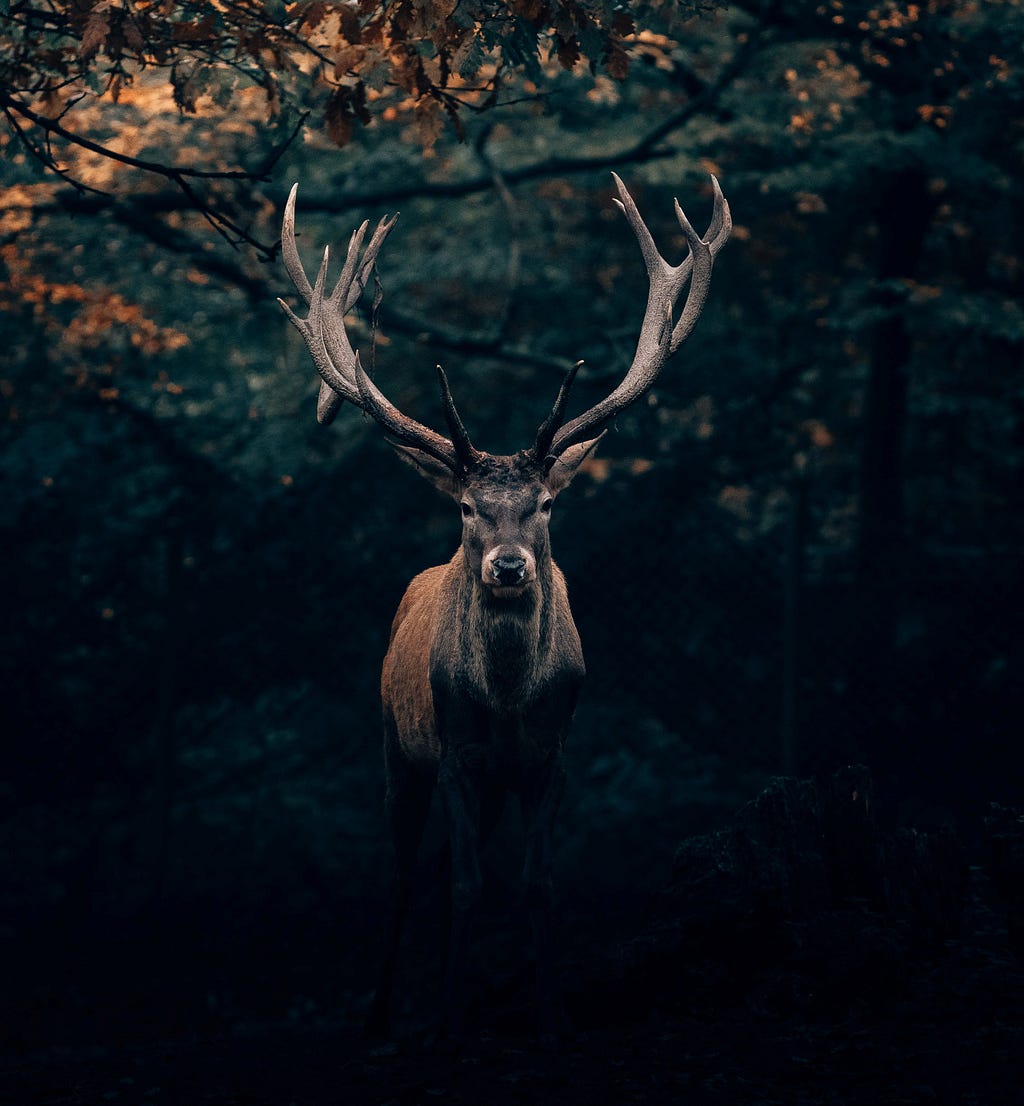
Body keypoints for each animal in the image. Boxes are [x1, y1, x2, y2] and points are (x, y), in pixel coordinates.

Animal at [278, 174, 729, 1044]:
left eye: (546, 503)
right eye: (465, 508)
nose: (509, 566)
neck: (513, 702)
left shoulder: (552, 758)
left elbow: (535, 885)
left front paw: (550, 1016)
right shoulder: (456, 754)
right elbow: (464, 886)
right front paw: (450, 1018)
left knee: (447, 867)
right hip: (396, 748)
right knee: (406, 873)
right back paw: (383, 1014)